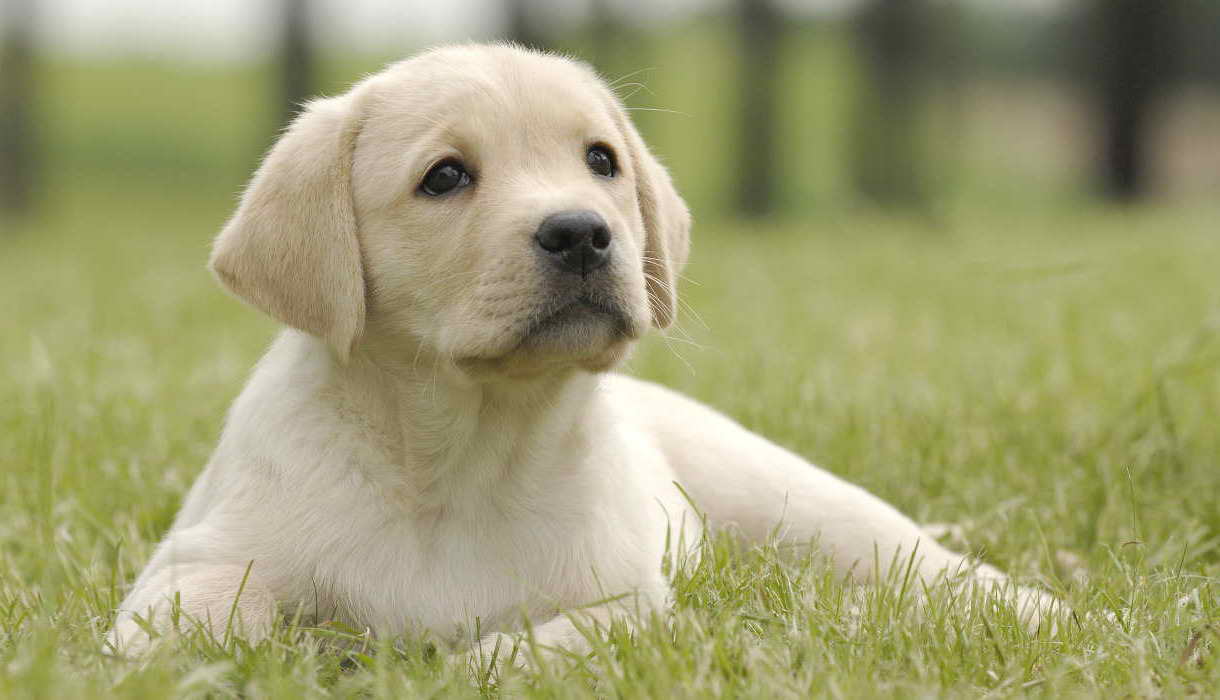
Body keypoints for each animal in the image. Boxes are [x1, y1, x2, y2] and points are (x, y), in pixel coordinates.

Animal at [104, 42, 1058, 663]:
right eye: (444, 177)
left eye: (601, 161)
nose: (582, 233)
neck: (460, 456)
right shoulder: (196, 561)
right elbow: (185, 625)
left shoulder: (628, 600)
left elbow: (537, 647)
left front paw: (463, 668)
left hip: (798, 503)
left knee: (923, 564)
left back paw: (1045, 610)